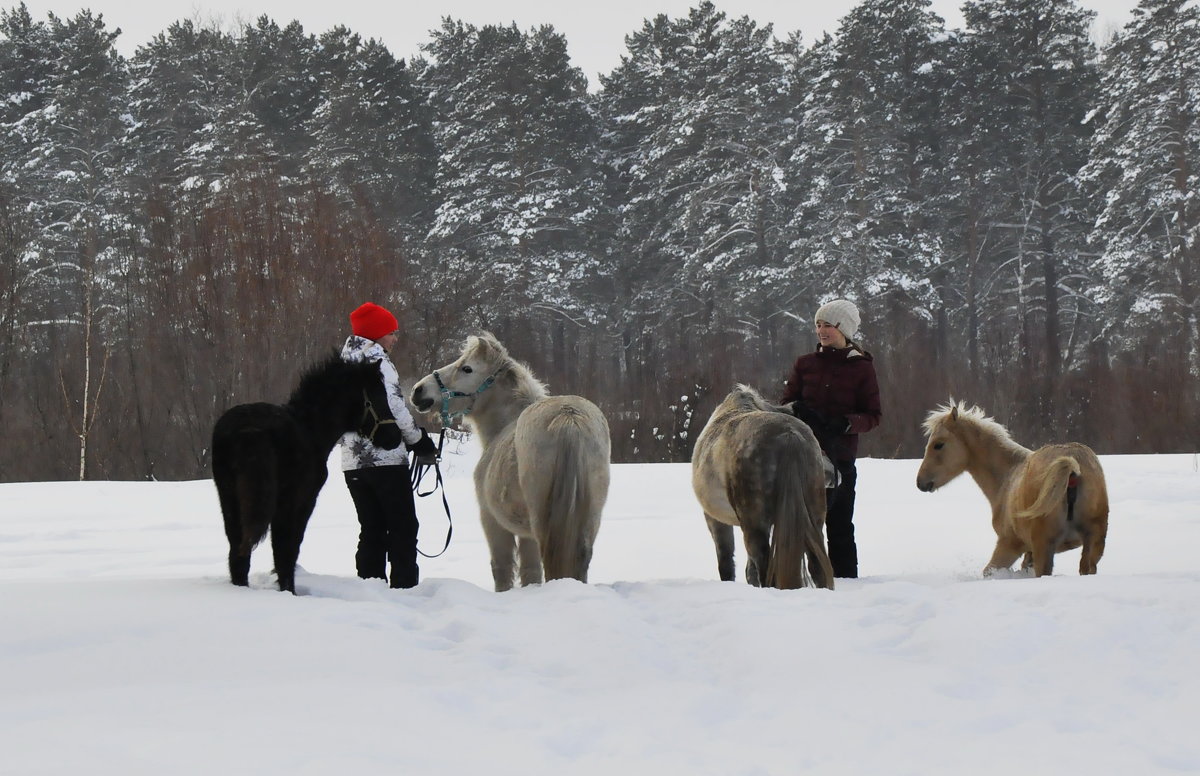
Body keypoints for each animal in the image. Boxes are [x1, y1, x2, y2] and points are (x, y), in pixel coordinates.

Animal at [211, 352, 403, 594]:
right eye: (378, 396)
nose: (394, 437)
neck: (311, 428)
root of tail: (248, 429)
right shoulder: (303, 504)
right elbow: (290, 549)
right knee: (281, 550)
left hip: (229, 500)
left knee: (238, 553)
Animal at [410, 331, 609, 592]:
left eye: (467, 368)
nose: (418, 390)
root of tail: (568, 417)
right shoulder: (526, 533)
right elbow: (530, 572)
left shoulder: (492, 521)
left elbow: (503, 568)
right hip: (589, 519)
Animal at [696, 386, 835, 592]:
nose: (833, 475)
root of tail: (790, 435)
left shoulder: (715, 519)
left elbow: (727, 562)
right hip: (814, 519)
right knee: (816, 566)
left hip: (755, 525)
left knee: (765, 566)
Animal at [916, 400, 1104, 575]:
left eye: (938, 444)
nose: (920, 482)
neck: (1007, 477)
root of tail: (1072, 467)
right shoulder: (1028, 553)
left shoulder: (1009, 545)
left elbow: (988, 572)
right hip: (1092, 544)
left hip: (1044, 547)